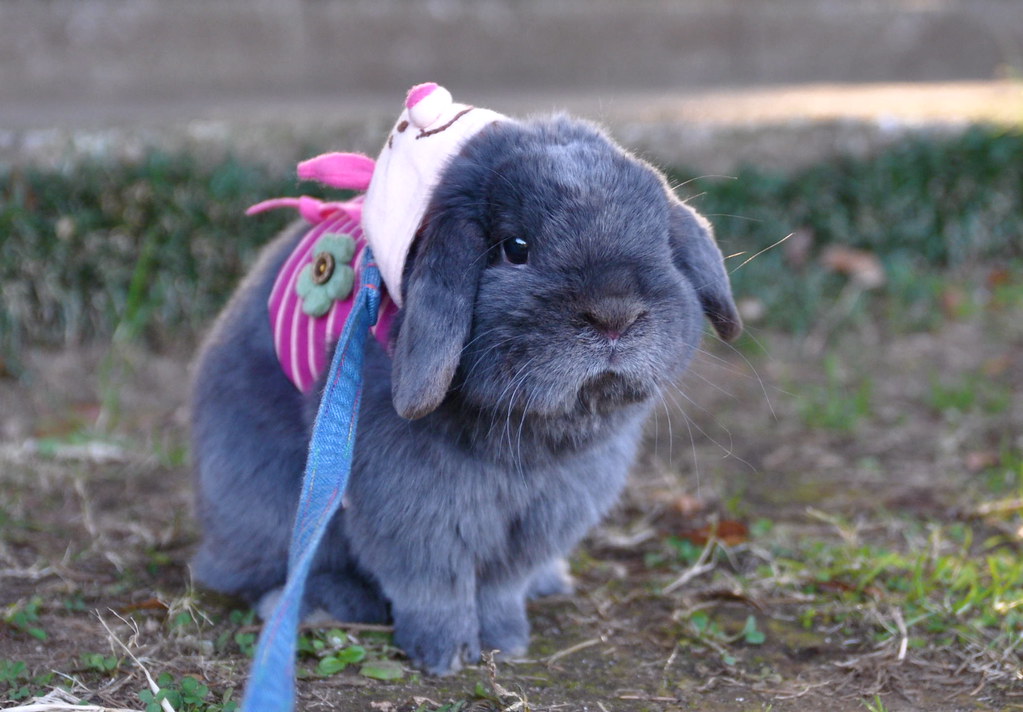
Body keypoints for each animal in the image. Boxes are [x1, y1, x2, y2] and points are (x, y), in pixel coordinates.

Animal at [189, 114, 741, 675]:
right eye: (516, 248)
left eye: (663, 244)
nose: (615, 314)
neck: (528, 439)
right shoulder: (412, 507)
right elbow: (432, 584)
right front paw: (444, 654)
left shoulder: (546, 514)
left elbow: (502, 585)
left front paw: (507, 640)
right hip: (272, 501)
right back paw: (324, 603)